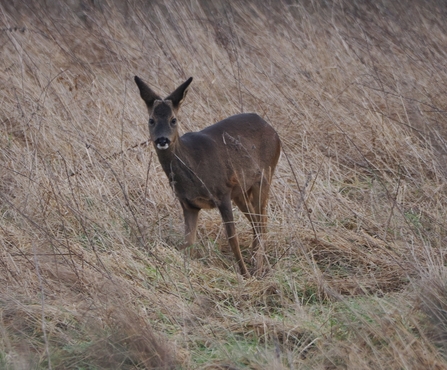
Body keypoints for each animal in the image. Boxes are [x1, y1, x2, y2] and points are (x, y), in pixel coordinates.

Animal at [134, 76, 280, 278]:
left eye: (173, 120)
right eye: (151, 120)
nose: (162, 140)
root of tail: (273, 130)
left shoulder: (222, 192)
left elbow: (232, 238)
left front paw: (244, 275)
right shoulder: (189, 204)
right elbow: (188, 242)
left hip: (265, 175)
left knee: (262, 222)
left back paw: (257, 267)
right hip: (241, 190)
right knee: (255, 220)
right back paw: (255, 260)